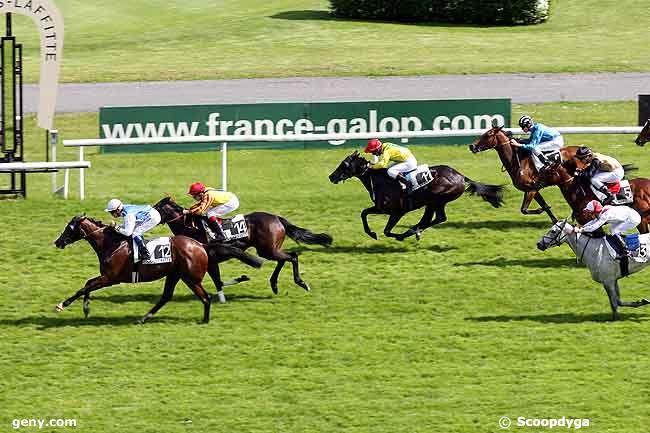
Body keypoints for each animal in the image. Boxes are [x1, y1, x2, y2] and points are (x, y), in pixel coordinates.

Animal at [53, 214, 260, 322]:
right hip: (174, 274)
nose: (58, 242)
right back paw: (144, 317)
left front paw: (62, 305)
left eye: (69, 228)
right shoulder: (106, 277)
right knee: (166, 297)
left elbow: (84, 287)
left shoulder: (110, 278)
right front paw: (86, 308)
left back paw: (205, 320)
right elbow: (87, 284)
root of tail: (201, 245)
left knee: (206, 297)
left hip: (191, 278)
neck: (111, 244)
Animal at [154, 197, 332, 296]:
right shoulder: (211, 260)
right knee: (284, 259)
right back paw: (274, 284)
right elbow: (219, 282)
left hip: (267, 250)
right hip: (269, 249)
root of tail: (277, 218)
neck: (190, 227)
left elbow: (218, 281)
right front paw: (241, 278)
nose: (148, 214)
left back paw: (300, 282)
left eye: (157, 207)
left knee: (293, 256)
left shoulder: (209, 258)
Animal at [326, 150, 504, 241]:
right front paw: (371, 233)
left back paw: (412, 232)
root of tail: (460, 176)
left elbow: (387, 231)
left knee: (436, 218)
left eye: (344, 164)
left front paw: (396, 235)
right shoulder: (381, 209)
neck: (379, 180)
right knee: (436, 218)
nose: (331, 177)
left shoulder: (397, 212)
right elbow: (364, 213)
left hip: (436, 199)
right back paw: (416, 231)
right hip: (434, 202)